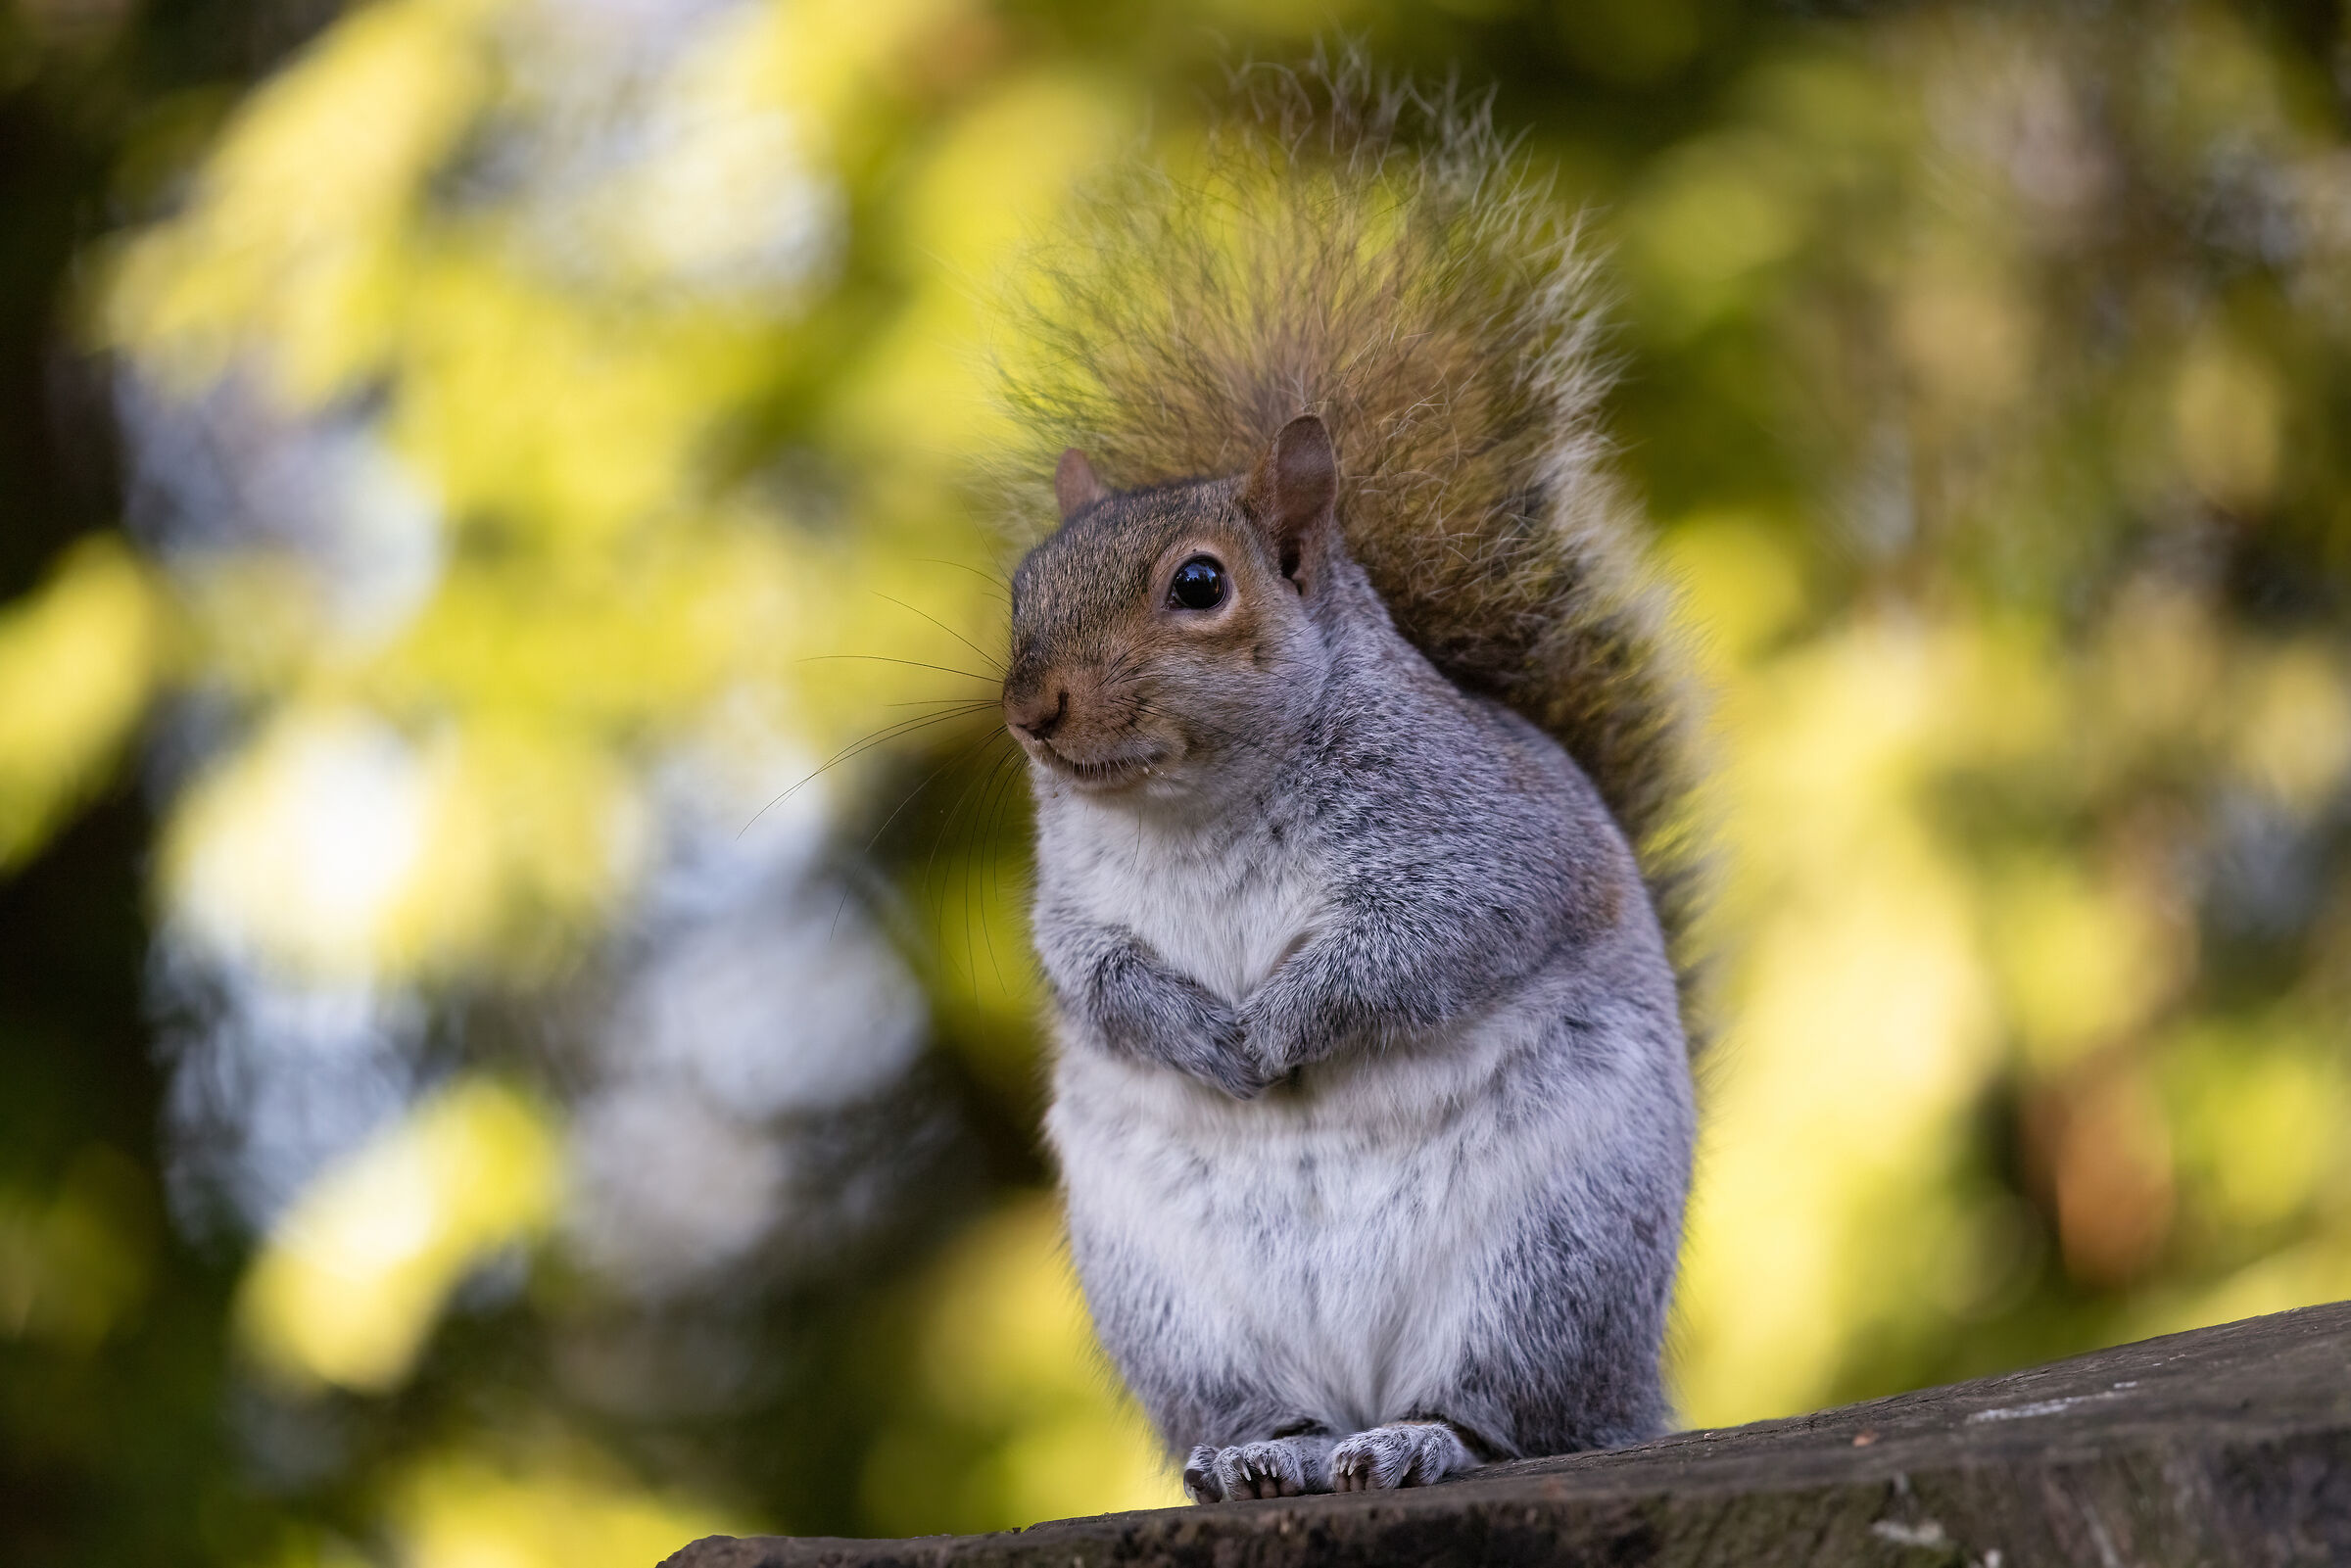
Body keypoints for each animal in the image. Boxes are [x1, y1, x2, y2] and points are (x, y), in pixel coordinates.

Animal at [995, 60, 1702, 1502]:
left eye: (1198, 584)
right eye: (1021, 590)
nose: (1027, 709)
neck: (1195, 806)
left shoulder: (1474, 846)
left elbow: (1412, 950)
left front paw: (1271, 1032)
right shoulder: (1074, 906)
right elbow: (1096, 980)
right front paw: (1202, 1036)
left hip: (1546, 1261)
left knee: (1503, 1410)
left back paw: (1420, 1437)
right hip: (1177, 1313)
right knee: (1269, 1406)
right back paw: (1263, 1455)